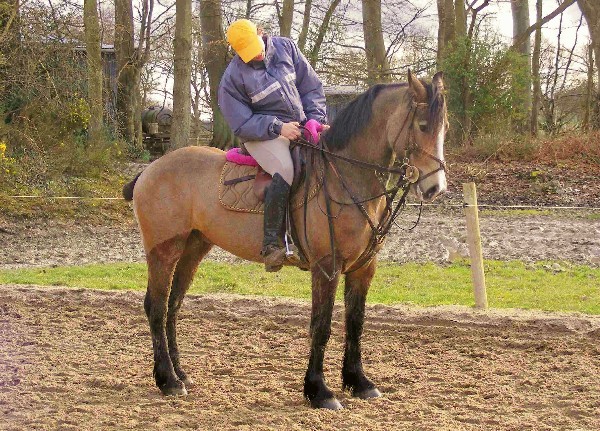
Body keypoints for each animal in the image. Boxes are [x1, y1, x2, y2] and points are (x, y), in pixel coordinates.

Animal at [122, 70, 448, 410]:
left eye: (443, 128)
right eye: (422, 125)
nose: (435, 188)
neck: (346, 175)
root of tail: (150, 169)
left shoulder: (363, 268)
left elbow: (355, 323)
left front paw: (358, 381)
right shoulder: (326, 267)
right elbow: (321, 325)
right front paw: (319, 391)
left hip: (193, 249)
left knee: (173, 306)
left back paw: (180, 374)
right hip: (163, 251)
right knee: (157, 307)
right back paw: (167, 380)